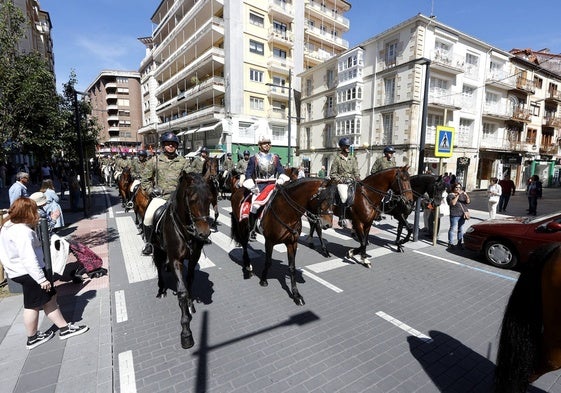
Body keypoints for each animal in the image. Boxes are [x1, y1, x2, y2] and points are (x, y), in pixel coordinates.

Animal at [151, 170, 212, 348]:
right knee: (158, 267)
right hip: (157, 249)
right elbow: (182, 291)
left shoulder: (193, 257)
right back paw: (161, 289)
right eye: (192, 199)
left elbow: (189, 280)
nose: (204, 233)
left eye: (210, 198)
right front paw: (186, 331)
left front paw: (191, 304)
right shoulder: (175, 260)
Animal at [229, 176, 334, 304]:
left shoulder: (292, 243)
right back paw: (247, 266)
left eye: (333, 199)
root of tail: (237, 190)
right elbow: (268, 262)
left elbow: (292, 267)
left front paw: (296, 295)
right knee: (244, 244)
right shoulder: (269, 242)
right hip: (242, 226)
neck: (287, 212)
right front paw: (263, 280)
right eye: (323, 198)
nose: (328, 224)